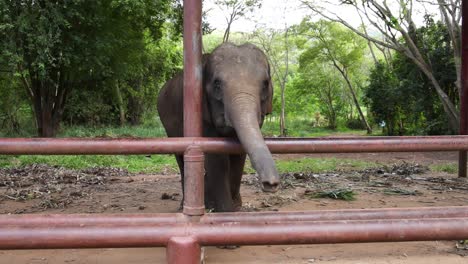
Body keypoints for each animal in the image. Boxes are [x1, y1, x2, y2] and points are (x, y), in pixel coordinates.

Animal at [159, 42, 280, 212]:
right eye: (217, 84)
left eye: (265, 84)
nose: (271, 184)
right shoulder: (202, 115)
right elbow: (217, 158)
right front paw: (227, 210)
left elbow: (238, 154)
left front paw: (236, 206)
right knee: (181, 158)